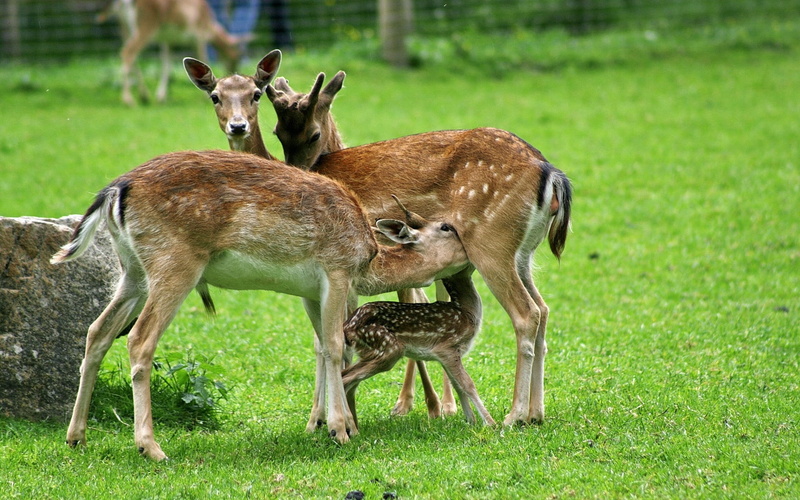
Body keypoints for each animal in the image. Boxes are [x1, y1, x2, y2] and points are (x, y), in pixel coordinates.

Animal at [50, 150, 469, 461]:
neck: (368, 260)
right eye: (448, 227)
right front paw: (340, 430)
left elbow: (323, 347)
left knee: (97, 331)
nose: (472, 255)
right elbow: (336, 346)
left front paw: (328, 425)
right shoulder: (336, 270)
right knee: (139, 339)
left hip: (132, 271)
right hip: (175, 262)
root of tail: (115, 191)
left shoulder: (312, 290)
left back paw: (76, 437)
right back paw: (151, 447)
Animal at [99, 0, 245, 105]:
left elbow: (166, 63)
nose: (233, 72)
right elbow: (203, 58)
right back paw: (128, 100)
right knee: (128, 52)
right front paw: (205, 95)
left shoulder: (167, 40)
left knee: (128, 54)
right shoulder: (199, 35)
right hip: (146, 24)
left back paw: (144, 96)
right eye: (236, 56)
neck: (210, 27)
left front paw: (162, 96)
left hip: (124, 27)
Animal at [342, 267, 495, 429]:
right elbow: (468, 384)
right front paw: (491, 424)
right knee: (346, 380)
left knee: (347, 377)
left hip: (370, 352)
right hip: (388, 348)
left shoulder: (448, 355)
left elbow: (457, 384)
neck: (466, 312)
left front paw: (471, 421)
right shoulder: (446, 347)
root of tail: (347, 327)